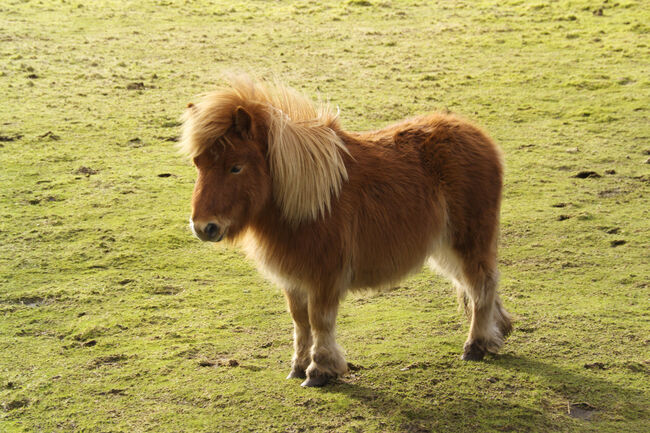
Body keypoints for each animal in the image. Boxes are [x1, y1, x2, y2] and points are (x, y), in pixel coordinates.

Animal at [180, 74, 512, 387]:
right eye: (198, 163)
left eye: (236, 167)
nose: (203, 227)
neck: (308, 199)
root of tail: (477, 134)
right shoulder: (294, 276)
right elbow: (299, 320)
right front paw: (298, 365)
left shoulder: (324, 274)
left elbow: (320, 320)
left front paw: (320, 370)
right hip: (444, 247)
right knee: (472, 283)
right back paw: (499, 330)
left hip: (469, 240)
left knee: (481, 283)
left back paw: (476, 344)